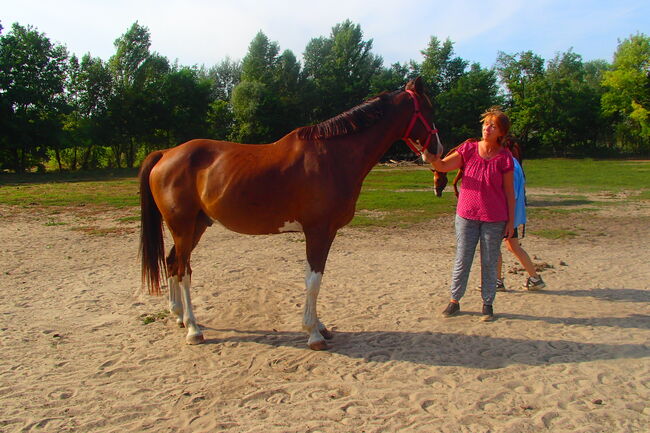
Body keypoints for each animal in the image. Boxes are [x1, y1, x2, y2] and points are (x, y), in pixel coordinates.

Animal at [139, 76, 442, 350]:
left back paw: (179, 316)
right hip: (182, 226)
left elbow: (316, 278)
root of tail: (166, 153)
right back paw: (193, 329)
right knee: (183, 270)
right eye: (429, 110)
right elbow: (313, 280)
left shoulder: (325, 233)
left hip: (196, 226)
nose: (438, 150)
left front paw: (320, 326)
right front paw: (314, 334)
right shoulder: (318, 231)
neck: (333, 157)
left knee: (171, 262)